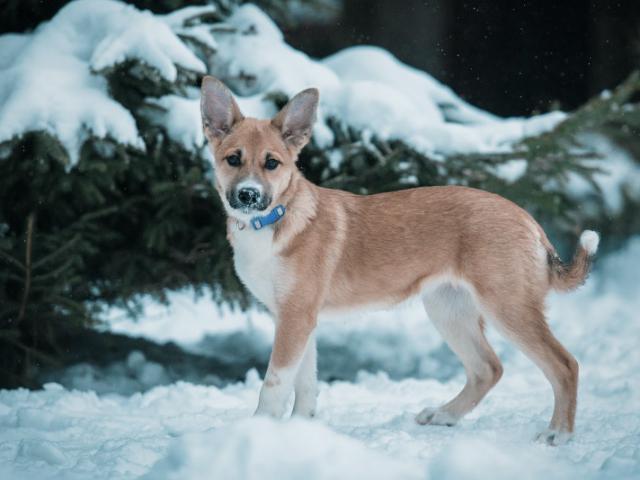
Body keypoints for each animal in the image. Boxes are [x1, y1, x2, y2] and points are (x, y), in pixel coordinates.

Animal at [201, 76, 600, 446]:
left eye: (272, 163)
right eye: (233, 159)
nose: (248, 195)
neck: (273, 220)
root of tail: (528, 218)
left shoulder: (295, 317)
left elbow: (274, 381)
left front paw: (256, 430)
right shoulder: (296, 318)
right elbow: (305, 382)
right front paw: (302, 430)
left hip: (508, 305)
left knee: (565, 364)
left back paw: (558, 433)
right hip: (448, 309)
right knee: (488, 368)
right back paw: (445, 415)